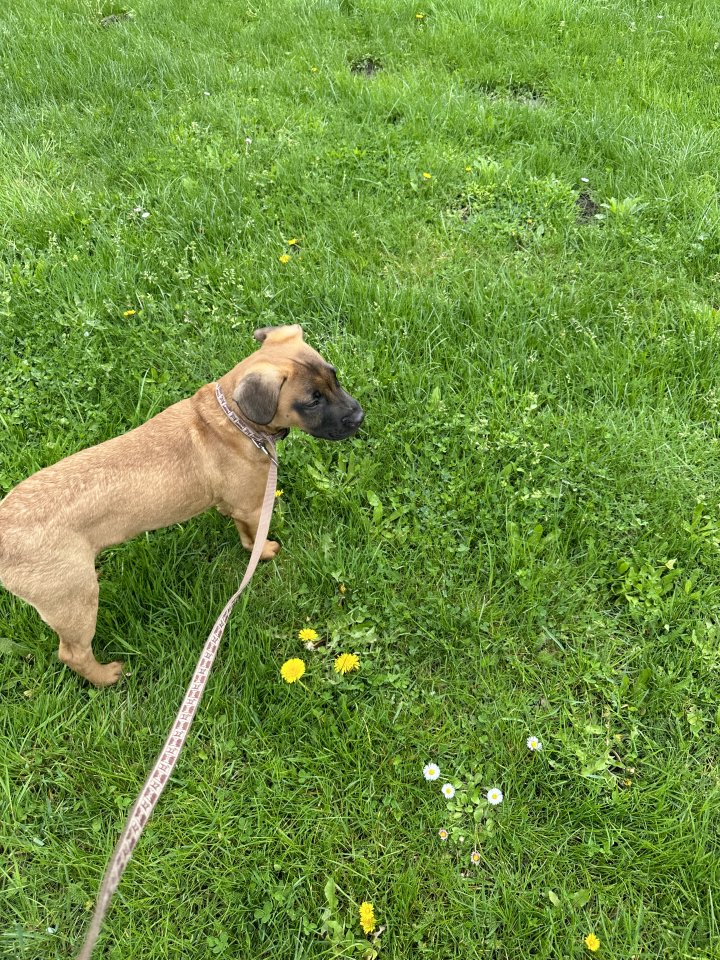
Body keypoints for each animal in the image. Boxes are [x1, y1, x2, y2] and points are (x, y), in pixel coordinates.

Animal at [0, 324, 363, 686]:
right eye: (312, 401)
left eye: (334, 377)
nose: (359, 416)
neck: (233, 419)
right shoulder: (252, 506)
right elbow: (253, 537)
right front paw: (265, 551)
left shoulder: (236, 505)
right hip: (74, 605)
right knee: (72, 652)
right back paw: (107, 677)